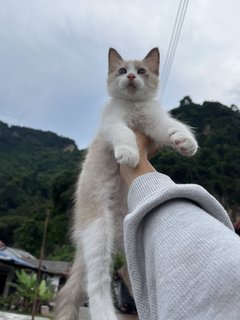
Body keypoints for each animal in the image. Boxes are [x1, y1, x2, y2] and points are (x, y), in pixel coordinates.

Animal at [55, 47, 198, 320]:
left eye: (141, 71)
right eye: (122, 71)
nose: (131, 77)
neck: (133, 108)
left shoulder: (154, 124)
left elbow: (171, 125)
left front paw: (185, 141)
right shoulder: (112, 124)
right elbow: (124, 134)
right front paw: (129, 153)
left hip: (132, 236)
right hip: (98, 230)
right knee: (96, 284)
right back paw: (106, 313)